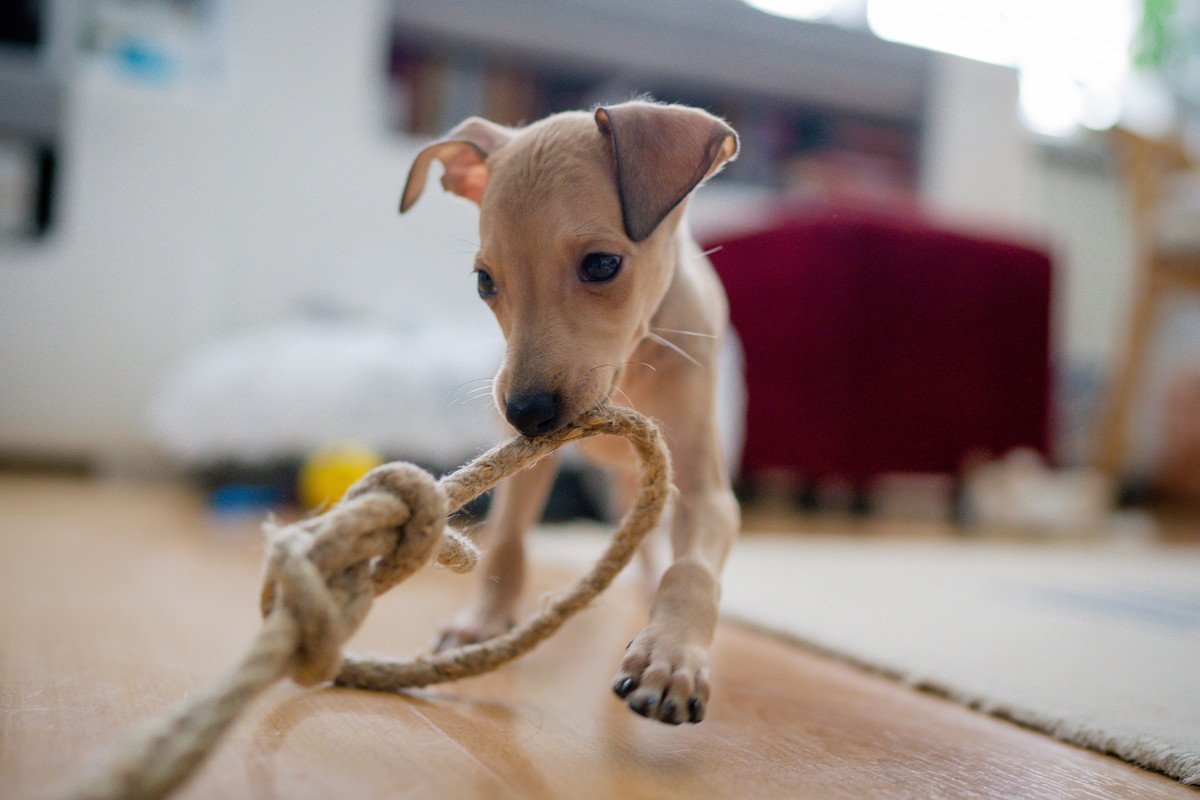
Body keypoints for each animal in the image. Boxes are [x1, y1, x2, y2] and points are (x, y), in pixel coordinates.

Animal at [403, 100, 739, 724]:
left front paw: (670, 655)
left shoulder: (706, 491)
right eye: (485, 281)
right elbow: (507, 540)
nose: (526, 414)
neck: (633, 369)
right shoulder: (529, 466)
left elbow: (692, 568)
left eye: (603, 264)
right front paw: (481, 623)